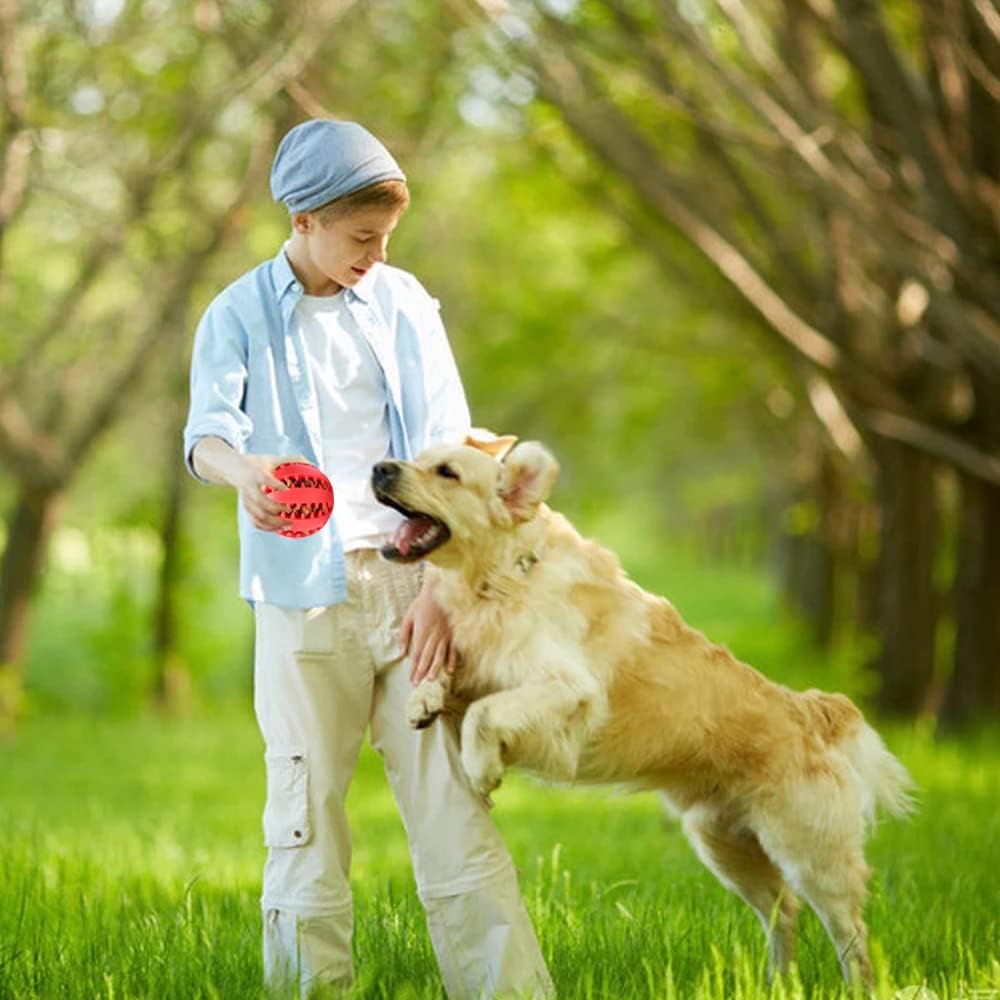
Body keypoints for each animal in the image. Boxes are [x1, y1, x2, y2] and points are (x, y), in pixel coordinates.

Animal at [370, 438, 916, 984]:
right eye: (418, 458)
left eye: (447, 472)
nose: (379, 467)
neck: (505, 573)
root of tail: (812, 711)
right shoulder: (483, 657)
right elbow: (454, 674)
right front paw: (424, 697)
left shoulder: (570, 690)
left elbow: (485, 712)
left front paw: (481, 769)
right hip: (725, 846)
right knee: (783, 912)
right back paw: (776, 984)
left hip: (810, 853)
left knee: (850, 933)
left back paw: (855, 988)